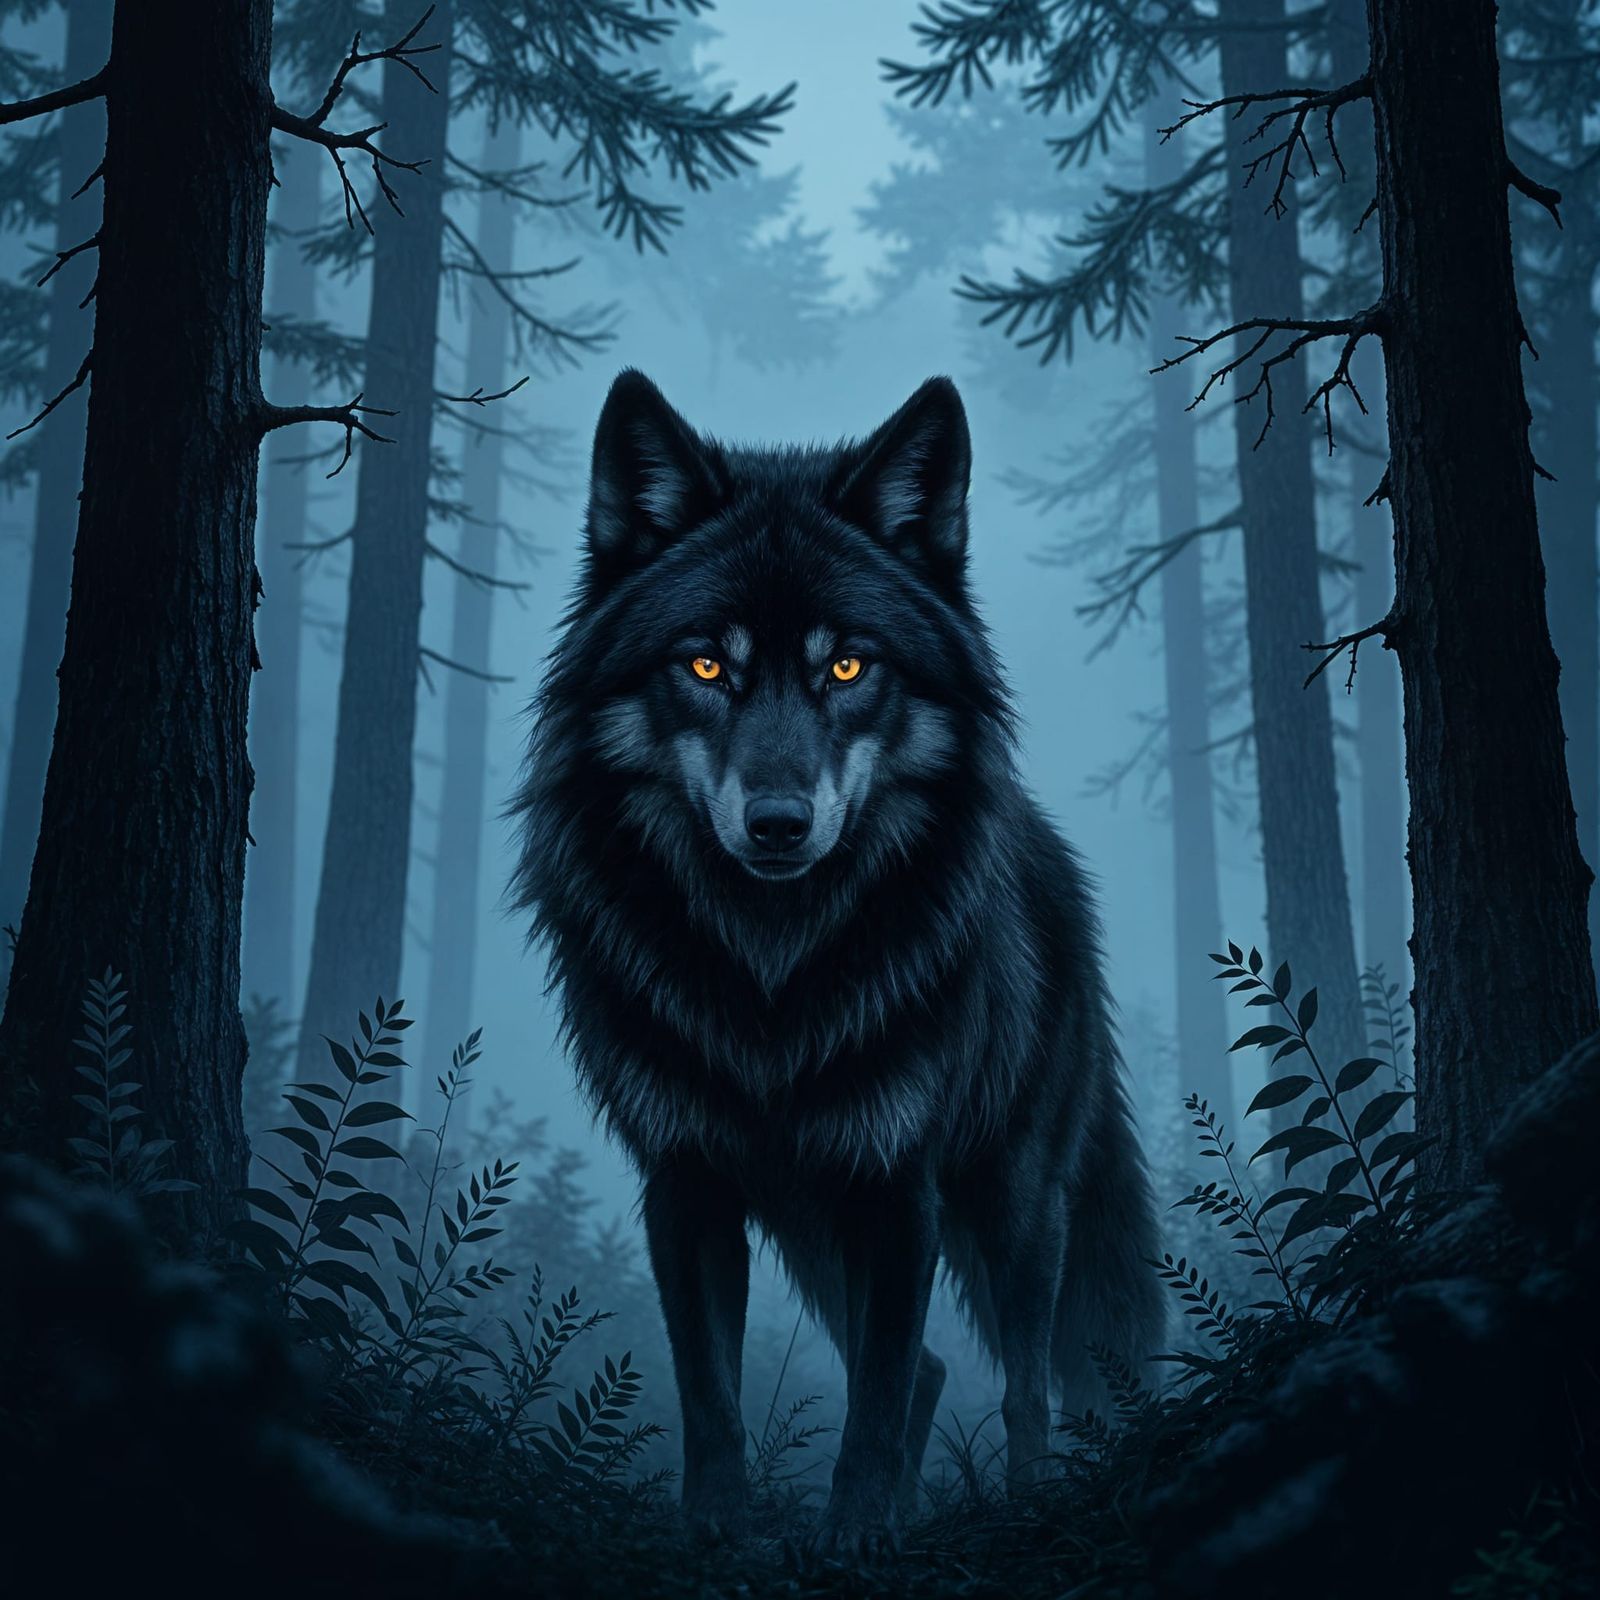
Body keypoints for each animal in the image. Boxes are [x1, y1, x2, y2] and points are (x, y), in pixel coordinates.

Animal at [511, 370, 1164, 1556]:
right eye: (706, 664)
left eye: (848, 665)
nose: (778, 824)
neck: (773, 977)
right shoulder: (684, 1181)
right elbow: (715, 1396)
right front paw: (720, 1534)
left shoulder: (896, 1185)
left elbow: (874, 1392)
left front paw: (859, 1537)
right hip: (813, 1231)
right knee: (936, 1368)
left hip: (1009, 1201)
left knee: (1022, 1382)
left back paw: (1029, 1505)